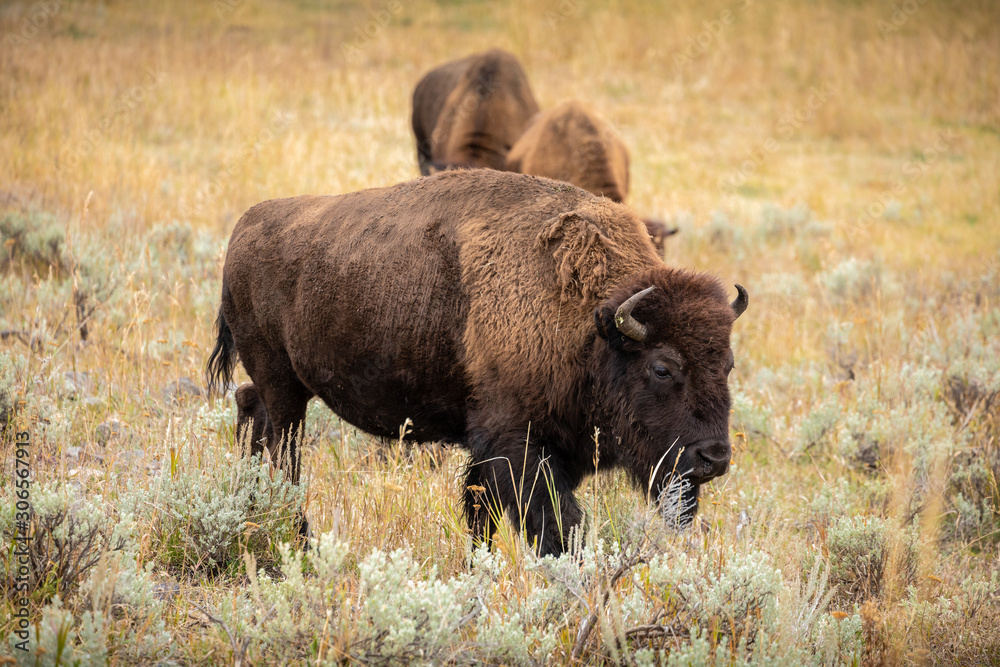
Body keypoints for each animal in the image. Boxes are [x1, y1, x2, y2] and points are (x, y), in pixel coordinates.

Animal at [207, 170, 748, 556]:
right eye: (662, 367)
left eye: (727, 364)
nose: (714, 458)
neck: (590, 326)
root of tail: (243, 228)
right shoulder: (517, 446)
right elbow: (556, 525)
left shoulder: (537, 446)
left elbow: (480, 512)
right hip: (285, 387)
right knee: (285, 455)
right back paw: (300, 540)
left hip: (281, 385)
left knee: (250, 410)